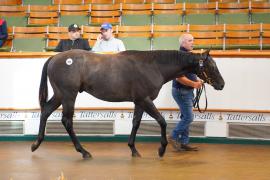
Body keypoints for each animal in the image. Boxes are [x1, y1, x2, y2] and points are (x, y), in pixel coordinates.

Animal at [30, 49, 225, 159]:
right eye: (210, 66)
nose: (221, 84)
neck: (153, 66)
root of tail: (54, 58)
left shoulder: (139, 101)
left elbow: (136, 123)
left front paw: (133, 150)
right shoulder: (145, 100)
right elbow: (162, 121)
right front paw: (161, 149)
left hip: (60, 95)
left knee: (46, 111)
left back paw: (36, 144)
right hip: (68, 95)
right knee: (67, 121)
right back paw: (84, 152)